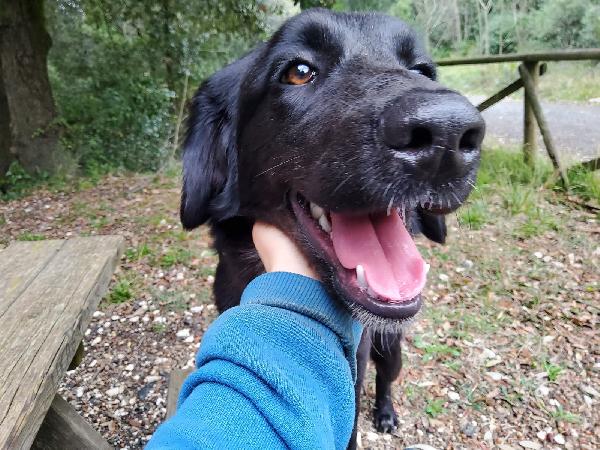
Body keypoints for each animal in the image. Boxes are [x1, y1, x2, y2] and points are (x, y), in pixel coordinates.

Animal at [180, 7, 486, 450]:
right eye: (298, 71)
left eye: (423, 71)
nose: (447, 132)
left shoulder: (356, 362)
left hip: (389, 348)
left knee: (386, 380)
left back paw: (386, 412)